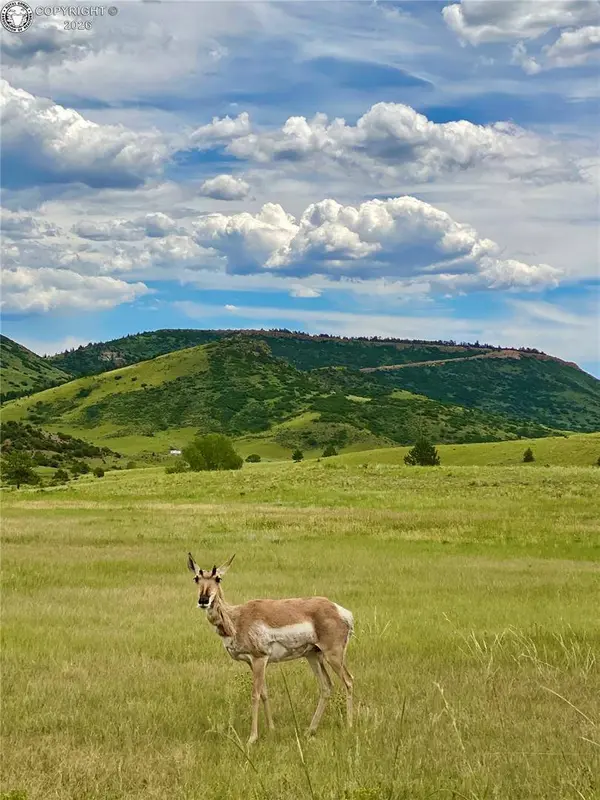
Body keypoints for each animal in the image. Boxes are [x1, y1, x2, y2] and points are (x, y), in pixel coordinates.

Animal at [187, 552, 354, 745]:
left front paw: (252, 738)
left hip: (333, 655)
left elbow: (255, 694)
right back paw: (309, 730)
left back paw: (349, 726)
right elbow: (264, 693)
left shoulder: (260, 658)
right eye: (196, 578)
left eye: (218, 578)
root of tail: (340, 611)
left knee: (348, 681)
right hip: (313, 656)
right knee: (326, 687)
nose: (203, 600)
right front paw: (271, 729)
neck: (236, 618)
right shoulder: (252, 662)